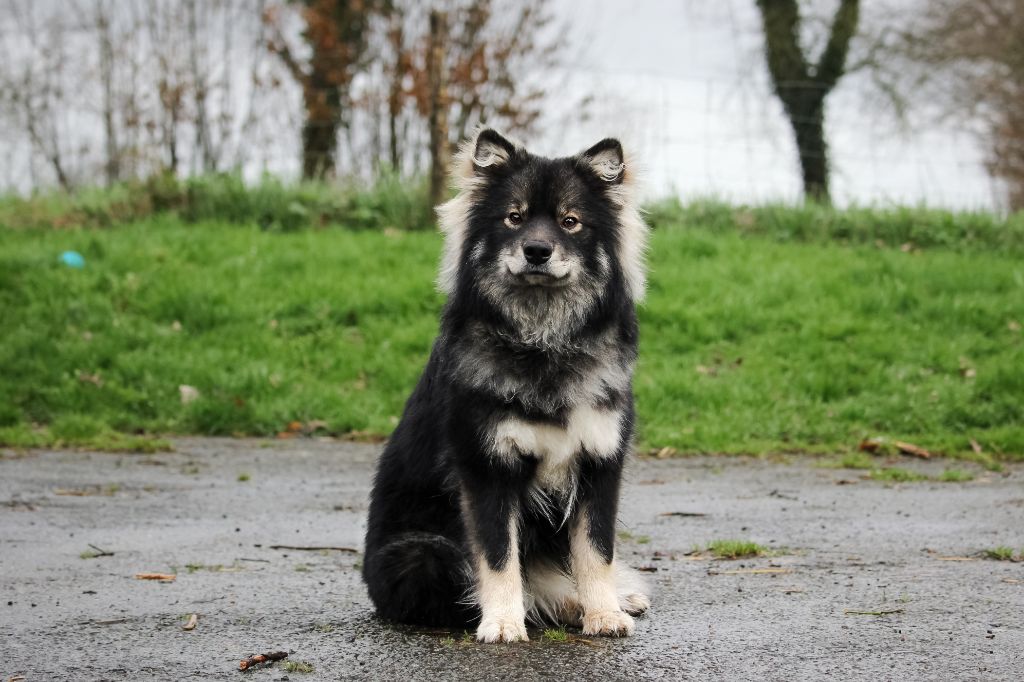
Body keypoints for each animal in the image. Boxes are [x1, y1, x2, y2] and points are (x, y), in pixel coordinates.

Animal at [362, 128, 650, 643]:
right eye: (514, 218)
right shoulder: (486, 468)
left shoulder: (599, 463)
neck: (543, 344)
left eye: (570, 222)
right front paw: (501, 622)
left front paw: (604, 613)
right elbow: (499, 558)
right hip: (421, 557)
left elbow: (596, 552)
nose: (537, 250)